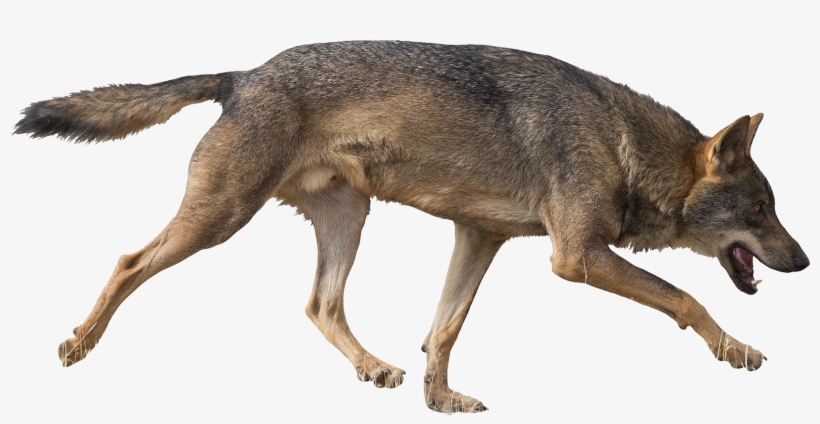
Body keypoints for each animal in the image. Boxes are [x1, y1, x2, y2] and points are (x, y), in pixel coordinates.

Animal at [14, 41, 810, 413]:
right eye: (760, 212)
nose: (804, 261)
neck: (623, 145)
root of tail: (242, 75)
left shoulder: (479, 237)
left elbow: (444, 330)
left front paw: (440, 399)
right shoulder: (577, 257)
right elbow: (686, 299)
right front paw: (737, 351)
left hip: (348, 219)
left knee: (319, 304)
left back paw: (372, 367)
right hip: (219, 218)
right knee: (127, 262)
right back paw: (78, 344)